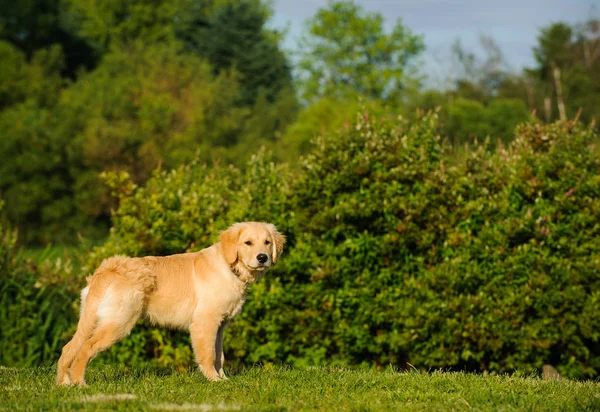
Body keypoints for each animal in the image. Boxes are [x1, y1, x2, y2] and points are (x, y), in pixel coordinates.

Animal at [56, 222, 286, 386]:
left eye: (267, 242)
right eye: (248, 243)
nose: (263, 258)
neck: (230, 267)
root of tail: (107, 270)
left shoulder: (221, 325)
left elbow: (219, 355)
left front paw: (224, 380)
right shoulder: (205, 322)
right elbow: (208, 354)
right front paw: (213, 380)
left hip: (91, 319)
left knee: (69, 348)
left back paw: (64, 384)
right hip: (118, 322)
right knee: (86, 348)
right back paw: (80, 383)